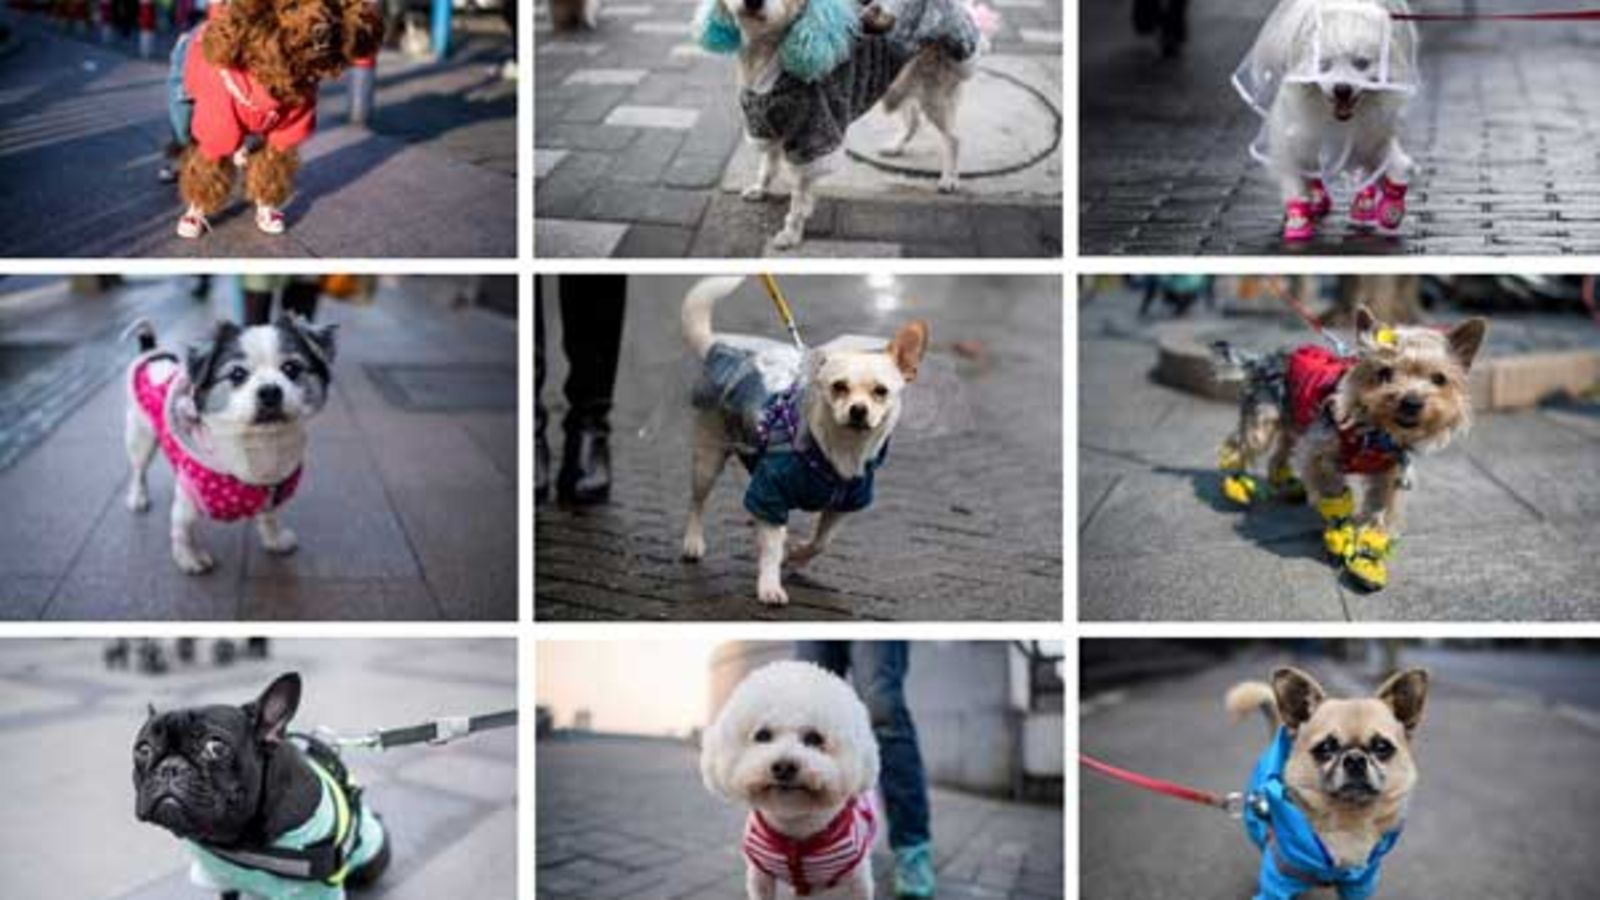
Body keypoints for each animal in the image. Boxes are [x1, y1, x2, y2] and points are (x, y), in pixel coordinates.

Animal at [672, 275, 928, 602]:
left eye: (880, 391)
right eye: (838, 387)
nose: (858, 410)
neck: (841, 451)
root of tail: (720, 345)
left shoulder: (842, 505)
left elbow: (821, 542)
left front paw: (794, 555)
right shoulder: (771, 492)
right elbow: (771, 548)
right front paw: (770, 585)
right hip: (708, 457)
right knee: (698, 500)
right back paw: (693, 542)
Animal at [697, 0, 992, 245]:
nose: (754, 2)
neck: (763, 59)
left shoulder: (811, 137)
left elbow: (799, 196)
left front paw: (791, 233)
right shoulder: (764, 124)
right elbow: (767, 166)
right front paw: (760, 189)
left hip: (936, 89)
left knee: (953, 138)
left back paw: (949, 179)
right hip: (901, 81)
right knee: (913, 120)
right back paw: (895, 147)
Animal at [700, 659, 883, 896]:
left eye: (814, 738)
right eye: (762, 735)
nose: (784, 766)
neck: (795, 830)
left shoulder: (857, 880)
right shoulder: (760, 876)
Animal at [1235, 0, 1414, 241]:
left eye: (1361, 63)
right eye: (1323, 66)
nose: (1342, 89)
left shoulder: (1371, 138)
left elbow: (1396, 165)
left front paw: (1392, 207)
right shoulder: (1292, 139)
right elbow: (1294, 180)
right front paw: (1298, 221)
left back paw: (1363, 204)